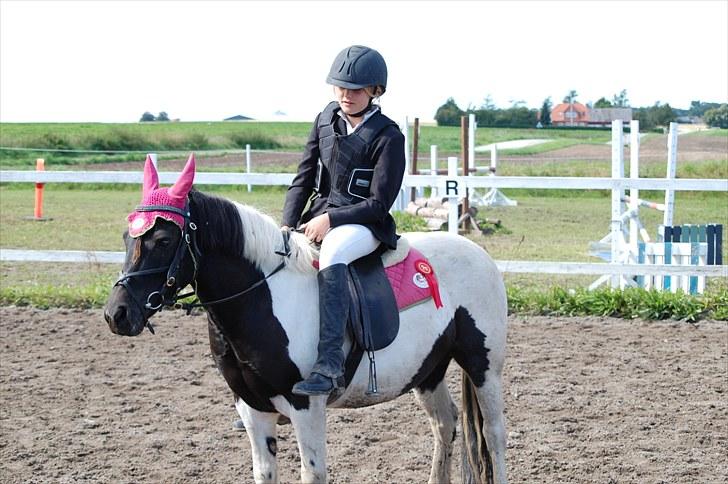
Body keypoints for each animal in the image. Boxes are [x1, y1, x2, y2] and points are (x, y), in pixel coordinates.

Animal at [104, 154, 508, 484]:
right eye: (126, 236)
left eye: (163, 240)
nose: (116, 313)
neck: (263, 299)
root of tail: (478, 253)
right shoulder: (252, 410)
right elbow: (264, 473)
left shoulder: (306, 409)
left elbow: (312, 473)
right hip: (428, 370)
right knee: (445, 425)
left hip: (484, 367)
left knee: (494, 435)